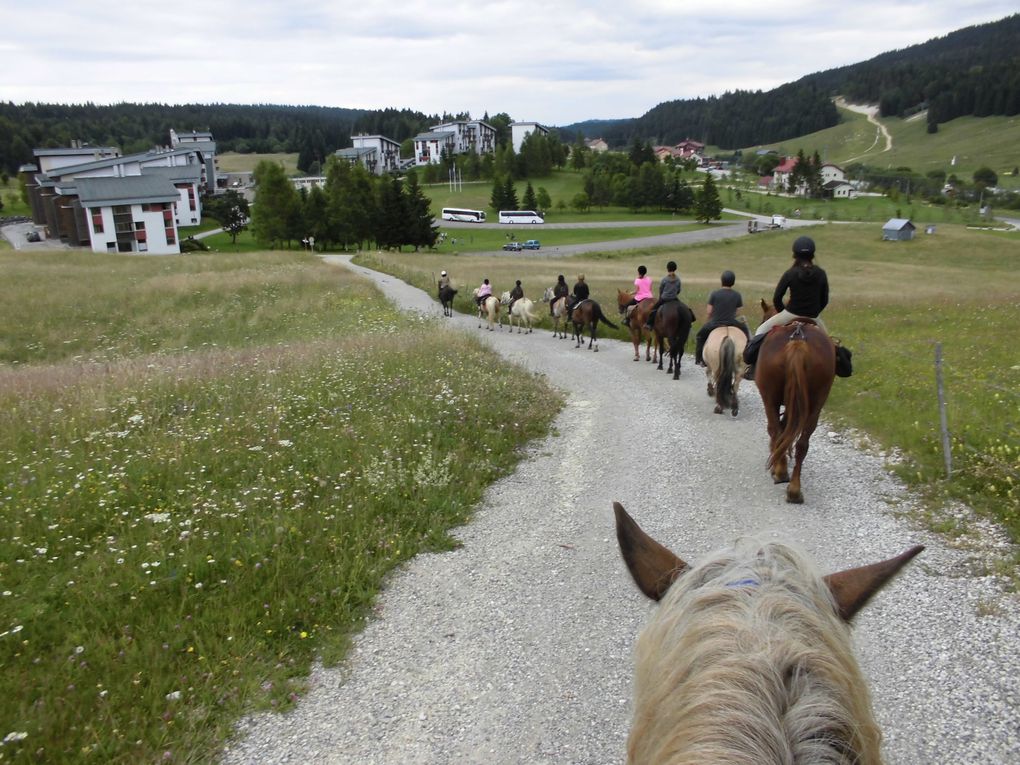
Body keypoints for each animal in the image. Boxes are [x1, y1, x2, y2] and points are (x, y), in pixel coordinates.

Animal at [758, 301, 836, 505]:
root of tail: (798, 339)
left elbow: (779, 429)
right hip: (817, 402)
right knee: (802, 443)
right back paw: (794, 490)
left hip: (769, 397)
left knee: (776, 430)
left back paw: (781, 473)